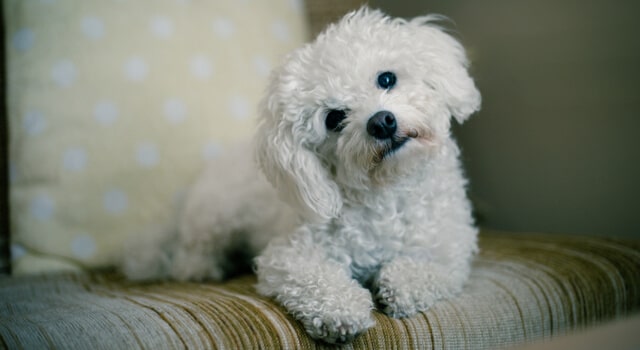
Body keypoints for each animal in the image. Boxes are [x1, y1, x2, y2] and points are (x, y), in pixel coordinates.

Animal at [121, 7, 480, 344]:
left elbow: (421, 270)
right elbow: (318, 280)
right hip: (214, 216)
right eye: (334, 118)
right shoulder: (289, 255)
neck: (386, 193)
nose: (381, 122)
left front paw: (400, 286)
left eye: (387, 79)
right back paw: (203, 267)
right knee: (190, 253)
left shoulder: (450, 249)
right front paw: (342, 310)